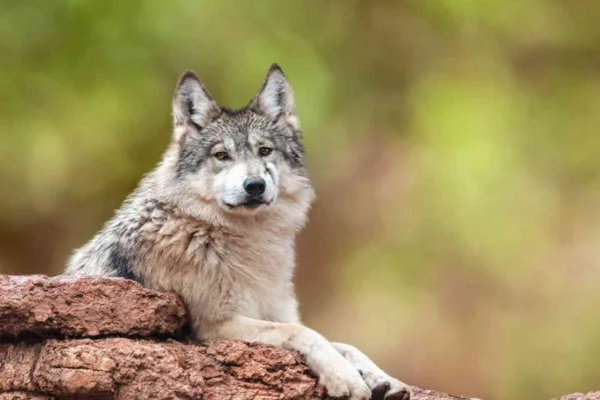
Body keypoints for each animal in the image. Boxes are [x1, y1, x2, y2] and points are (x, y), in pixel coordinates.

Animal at [65, 64, 412, 398]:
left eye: (264, 151)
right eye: (222, 155)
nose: (254, 185)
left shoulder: (275, 314)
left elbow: (346, 345)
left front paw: (385, 380)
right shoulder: (216, 326)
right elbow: (306, 333)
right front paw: (345, 378)